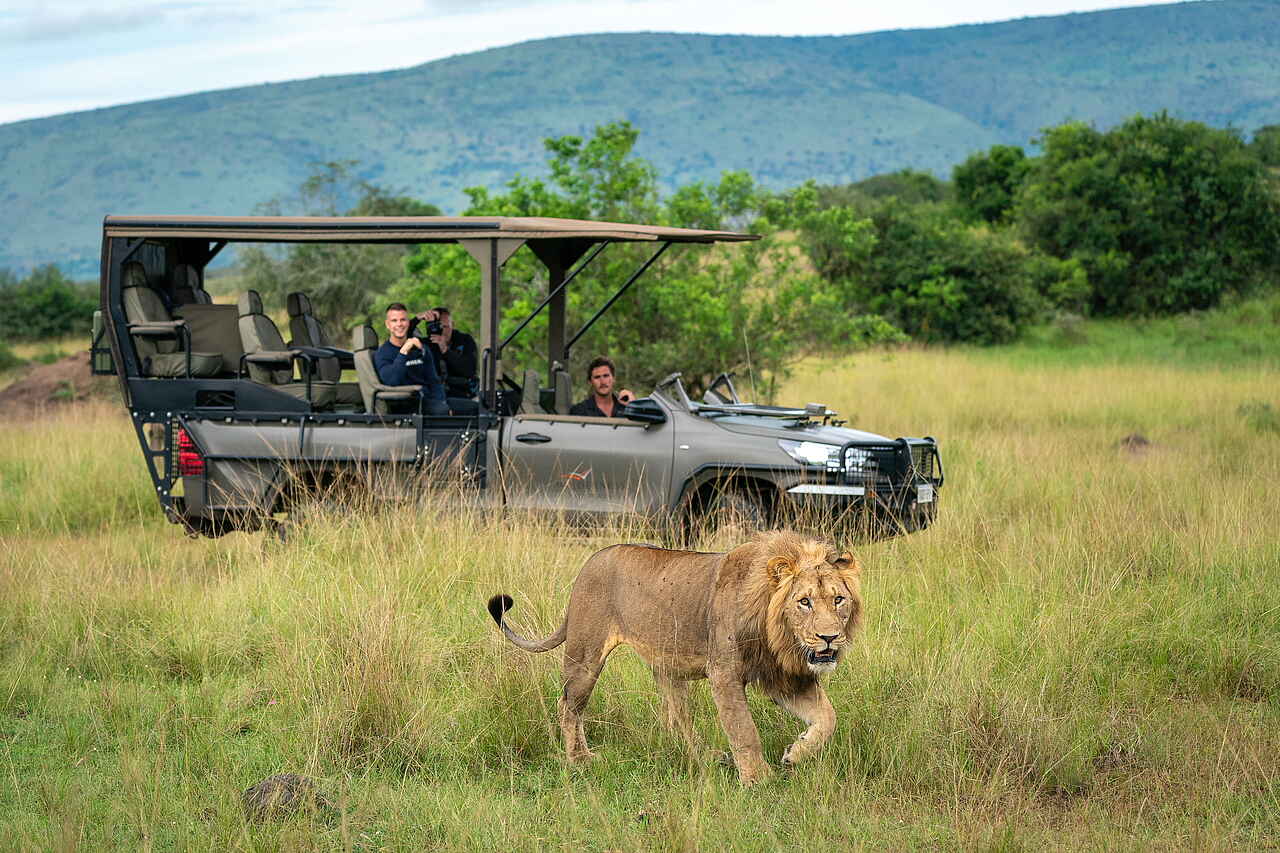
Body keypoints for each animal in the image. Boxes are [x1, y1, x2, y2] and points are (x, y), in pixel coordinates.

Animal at [486, 529, 863, 785]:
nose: (829, 638)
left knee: (678, 717)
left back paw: (706, 756)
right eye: (804, 602)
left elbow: (828, 718)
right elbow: (744, 729)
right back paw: (579, 759)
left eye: (838, 600)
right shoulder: (724, 674)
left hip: (667, 668)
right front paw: (757, 779)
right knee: (568, 705)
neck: (779, 637)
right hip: (585, 655)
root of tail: (591, 559)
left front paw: (795, 754)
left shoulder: (783, 677)